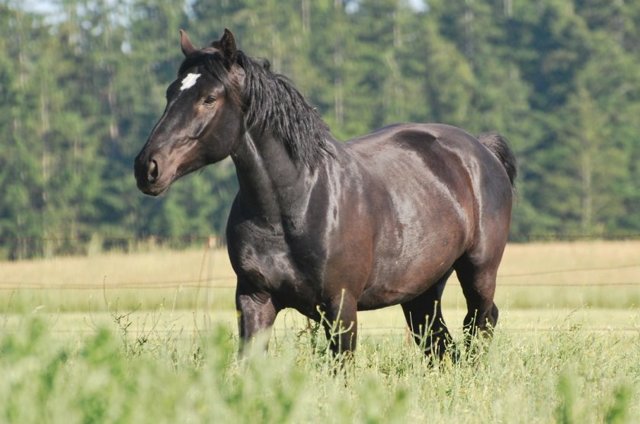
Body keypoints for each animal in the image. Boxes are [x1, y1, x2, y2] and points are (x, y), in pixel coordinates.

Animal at [134, 29, 516, 360]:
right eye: (170, 93)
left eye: (209, 98)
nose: (147, 167)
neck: (295, 205)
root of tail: (480, 149)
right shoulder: (255, 299)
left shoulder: (340, 307)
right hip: (421, 290)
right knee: (440, 344)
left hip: (478, 272)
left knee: (480, 324)